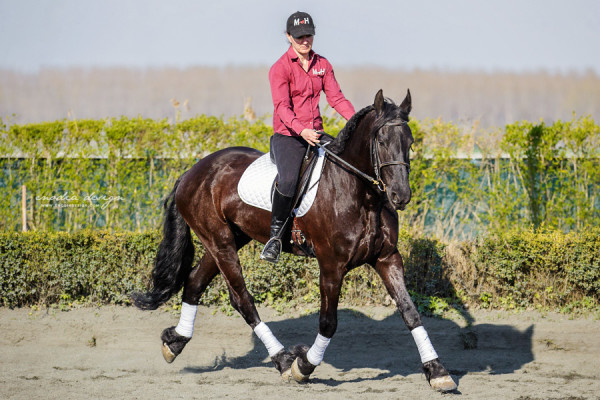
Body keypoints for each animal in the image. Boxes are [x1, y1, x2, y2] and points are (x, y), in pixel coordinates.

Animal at [134, 90, 458, 390]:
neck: (363, 197)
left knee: (195, 282)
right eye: (381, 141)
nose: (400, 196)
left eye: (410, 142)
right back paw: (282, 359)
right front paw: (303, 365)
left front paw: (437, 371)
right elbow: (328, 322)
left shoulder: (387, 258)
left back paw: (175, 342)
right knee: (242, 298)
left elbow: (410, 312)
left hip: (228, 239)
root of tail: (193, 171)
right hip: (220, 242)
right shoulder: (331, 264)